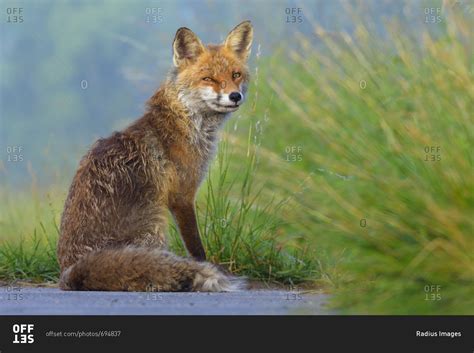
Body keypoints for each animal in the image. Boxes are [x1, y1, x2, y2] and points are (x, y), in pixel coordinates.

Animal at [57, 21, 254, 292]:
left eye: (236, 75)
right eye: (209, 79)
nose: (235, 96)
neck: (184, 123)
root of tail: (69, 270)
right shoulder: (182, 197)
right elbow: (196, 248)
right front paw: (208, 267)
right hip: (155, 224)